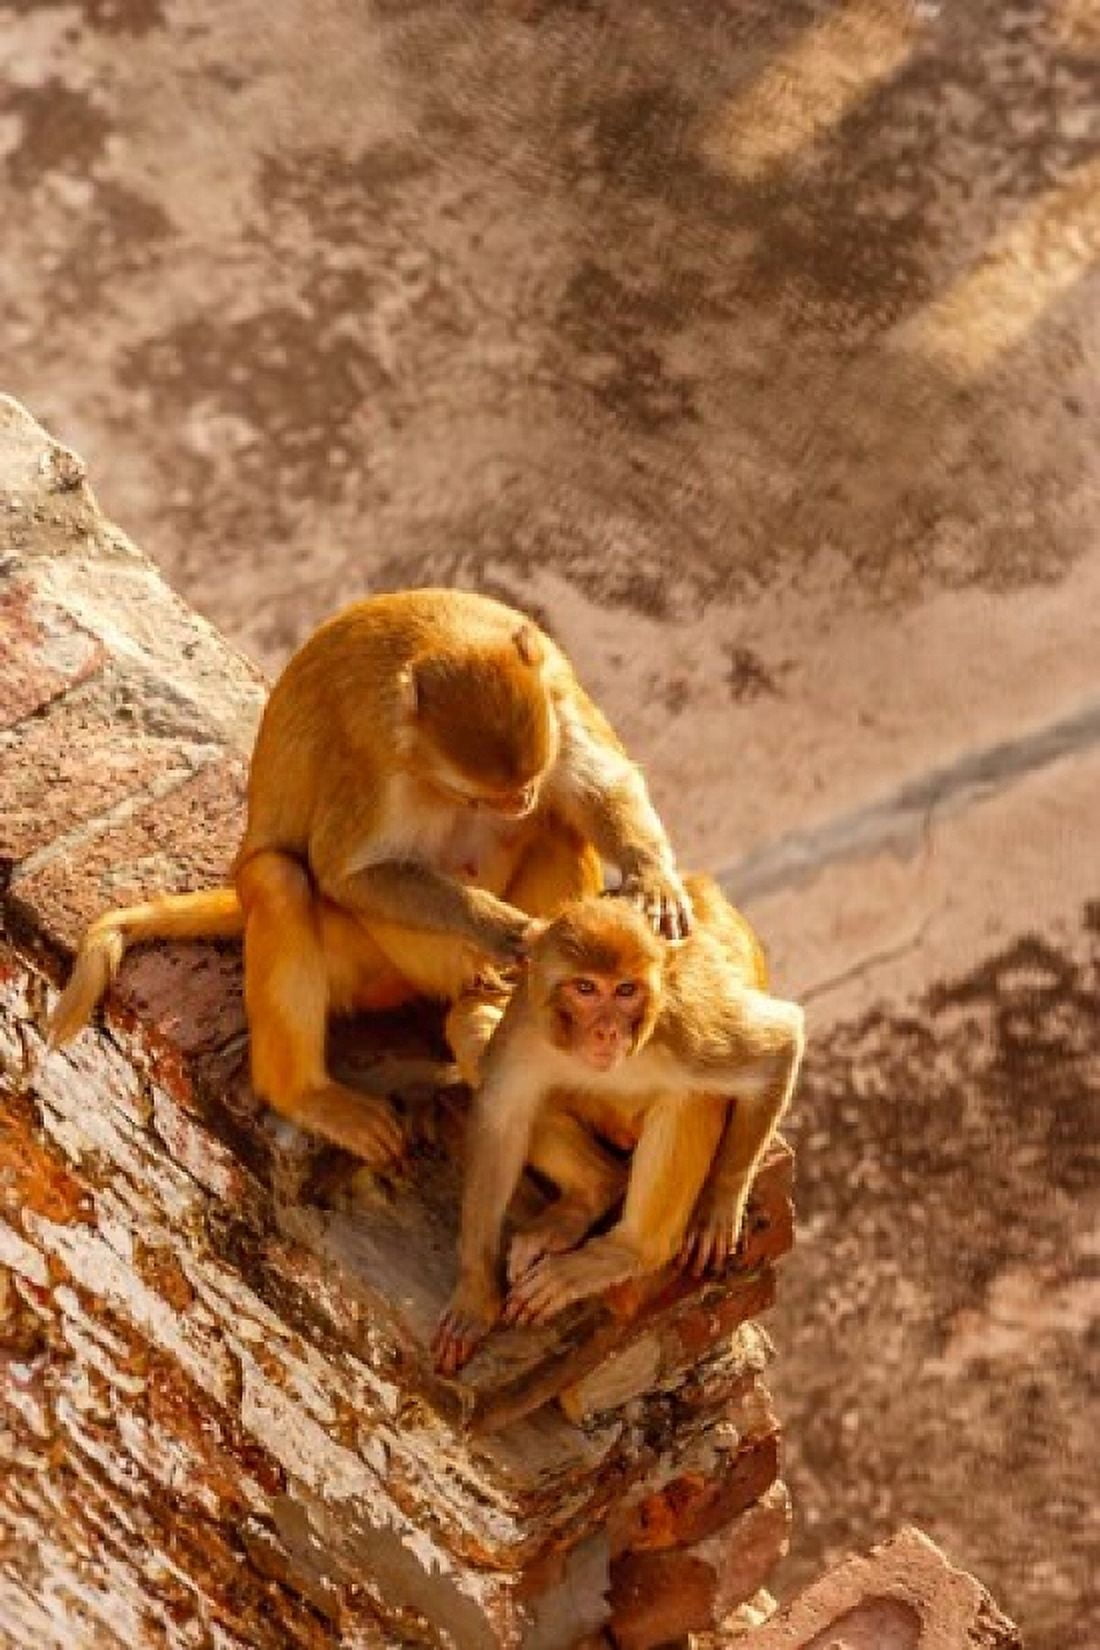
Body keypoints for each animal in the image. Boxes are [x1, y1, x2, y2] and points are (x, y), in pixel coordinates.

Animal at [49, 589, 693, 1169]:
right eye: (479, 794)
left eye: (523, 782)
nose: (521, 800)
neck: (444, 633)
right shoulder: (374, 753)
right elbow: (349, 872)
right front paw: (502, 928)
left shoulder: (555, 686)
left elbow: (599, 786)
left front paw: (653, 880)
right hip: (375, 963)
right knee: (279, 879)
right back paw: (308, 1092)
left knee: (558, 824)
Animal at [432, 876, 804, 1376]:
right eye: (586, 988)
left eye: (626, 990)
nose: (607, 1031)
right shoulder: (529, 1022)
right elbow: (501, 1116)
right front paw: (475, 1290)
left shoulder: (690, 1028)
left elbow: (779, 1045)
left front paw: (720, 1203)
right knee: (470, 1030)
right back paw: (589, 1195)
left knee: (687, 1093)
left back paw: (626, 1252)